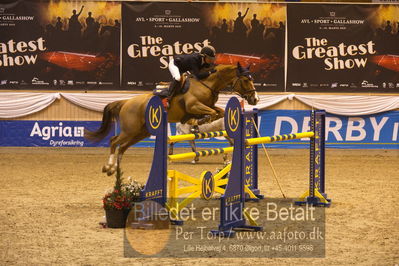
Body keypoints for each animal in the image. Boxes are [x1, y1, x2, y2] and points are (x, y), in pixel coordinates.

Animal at [84, 61, 260, 176]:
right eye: (246, 80)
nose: (255, 99)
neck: (207, 84)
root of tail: (126, 102)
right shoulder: (194, 106)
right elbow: (210, 114)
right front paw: (198, 123)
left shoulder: (207, 107)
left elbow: (219, 112)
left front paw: (200, 122)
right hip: (130, 130)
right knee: (114, 141)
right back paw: (108, 167)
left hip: (141, 132)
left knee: (122, 147)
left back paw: (116, 169)